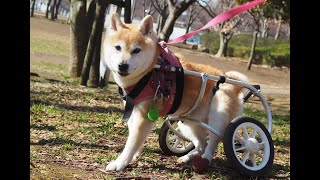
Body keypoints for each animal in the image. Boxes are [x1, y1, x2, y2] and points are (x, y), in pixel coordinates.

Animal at [101, 13, 249, 172]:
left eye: (136, 50)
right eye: (118, 47)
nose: (122, 65)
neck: (149, 72)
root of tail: (234, 85)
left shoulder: (144, 116)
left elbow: (131, 143)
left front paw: (120, 163)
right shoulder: (134, 112)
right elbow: (135, 139)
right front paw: (134, 156)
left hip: (217, 115)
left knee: (213, 142)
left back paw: (206, 159)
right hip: (188, 124)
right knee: (201, 144)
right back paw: (187, 157)